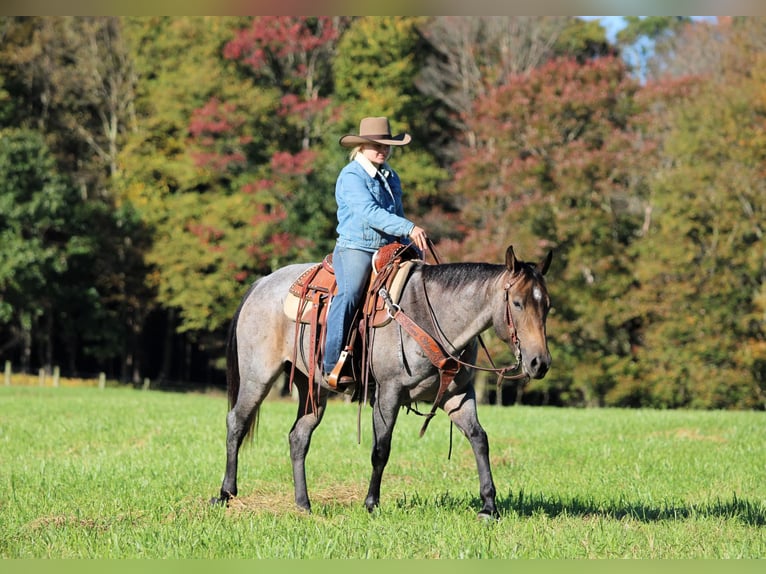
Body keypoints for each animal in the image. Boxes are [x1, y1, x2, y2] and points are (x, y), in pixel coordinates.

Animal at [211, 244, 552, 519]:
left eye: (547, 305)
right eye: (517, 303)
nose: (540, 363)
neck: (430, 315)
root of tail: (262, 283)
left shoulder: (458, 395)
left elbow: (479, 439)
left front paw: (489, 506)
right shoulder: (388, 393)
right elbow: (381, 448)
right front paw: (371, 503)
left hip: (312, 389)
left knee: (299, 437)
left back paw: (303, 504)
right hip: (257, 377)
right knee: (236, 422)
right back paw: (226, 493)